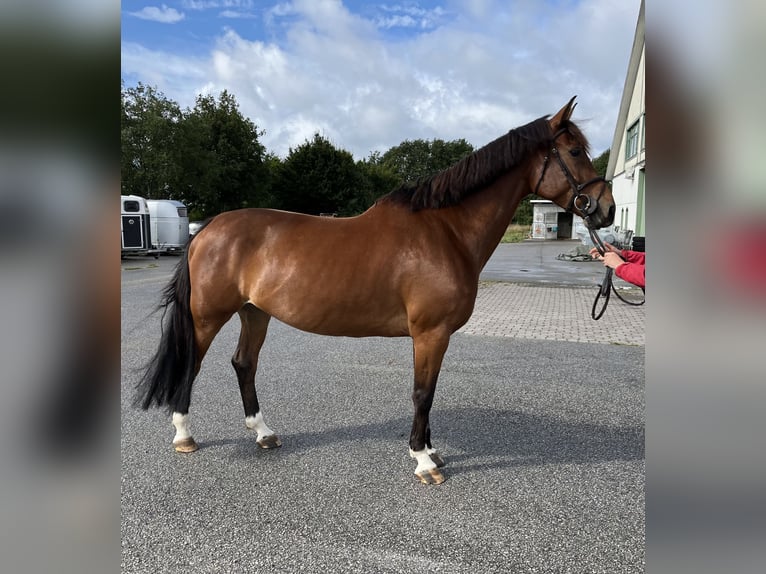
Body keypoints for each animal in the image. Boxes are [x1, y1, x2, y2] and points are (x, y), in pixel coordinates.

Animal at [136, 98, 616, 486]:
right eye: (574, 151)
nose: (606, 209)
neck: (446, 232)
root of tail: (207, 229)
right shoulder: (430, 333)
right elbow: (423, 393)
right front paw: (424, 461)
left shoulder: (433, 337)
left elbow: (429, 392)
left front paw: (431, 450)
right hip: (208, 316)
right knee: (192, 364)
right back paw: (184, 435)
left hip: (255, 312)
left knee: (243, 364)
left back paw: (264, 433)